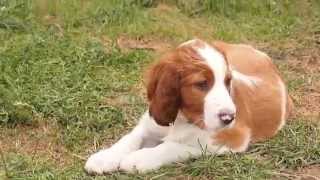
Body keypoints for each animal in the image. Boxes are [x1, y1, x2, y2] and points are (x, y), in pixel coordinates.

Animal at [84, 38, 292, 174]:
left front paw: (139, 158)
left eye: (227, 82)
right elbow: (131, 137)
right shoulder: (152, 120)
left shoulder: (231, 137)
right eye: (201, 84)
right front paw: (104, 157)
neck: (183, 116)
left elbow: (175, 146)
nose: (229, 117)